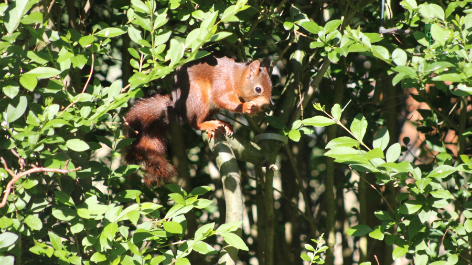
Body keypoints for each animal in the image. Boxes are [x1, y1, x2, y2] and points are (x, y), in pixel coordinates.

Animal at [125, 52, 272, 185]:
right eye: (258, 89)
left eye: (271, 88)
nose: (266, 105)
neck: (237, 78)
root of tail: (178, 111)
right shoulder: (223, 84)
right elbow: (222, 98)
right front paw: (246, 106)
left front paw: (254, 109)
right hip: (198, 95)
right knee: (194, 123)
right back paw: (208, 125)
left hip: (210, 107)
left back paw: (221, 122)